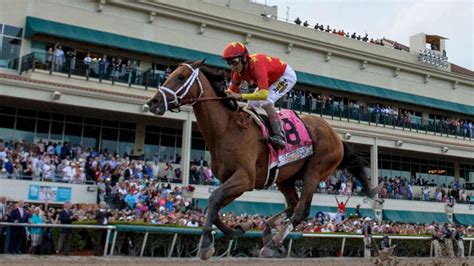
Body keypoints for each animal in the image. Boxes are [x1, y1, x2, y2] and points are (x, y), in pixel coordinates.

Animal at [146, 60, 380, 260]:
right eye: (169, 74)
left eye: (180, 77)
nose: (153, 102)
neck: (227, 130)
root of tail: (336, 136)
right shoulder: (232, 180)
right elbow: (215, 204)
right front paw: (236, 229)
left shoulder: (245, 179)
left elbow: (213, 199)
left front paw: (205, 245)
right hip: (285, 178)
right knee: (293, 204)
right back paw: (267, 230)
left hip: (315, 170)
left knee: (301, 210)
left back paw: (273, 242)